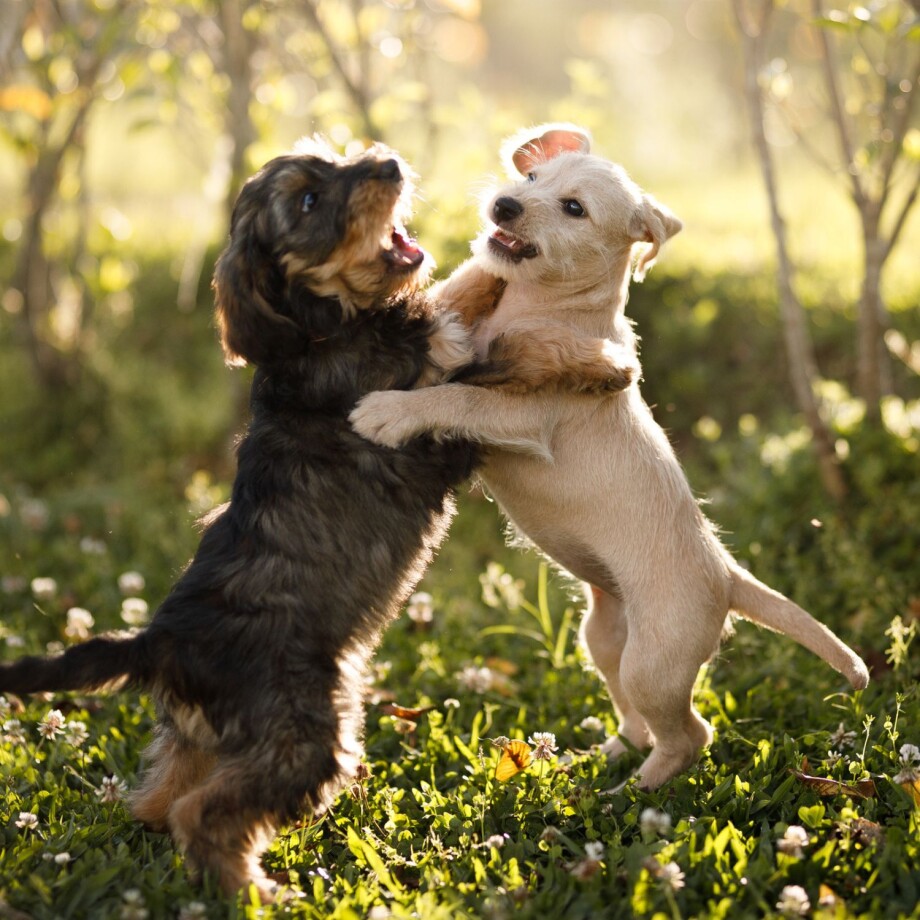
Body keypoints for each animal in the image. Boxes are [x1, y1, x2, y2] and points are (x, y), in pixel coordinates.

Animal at [348, 126, 868, 792]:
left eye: (574, 208)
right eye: (533, 179)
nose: (506, 205)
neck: (541, 306)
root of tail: (727, 575)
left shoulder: (522, 416)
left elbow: (456, 395)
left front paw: (386, 412)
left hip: (655, 661)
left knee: (690, 736)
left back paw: (633, 793)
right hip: (604, 637)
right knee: (638, 720)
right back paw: (602, 758)